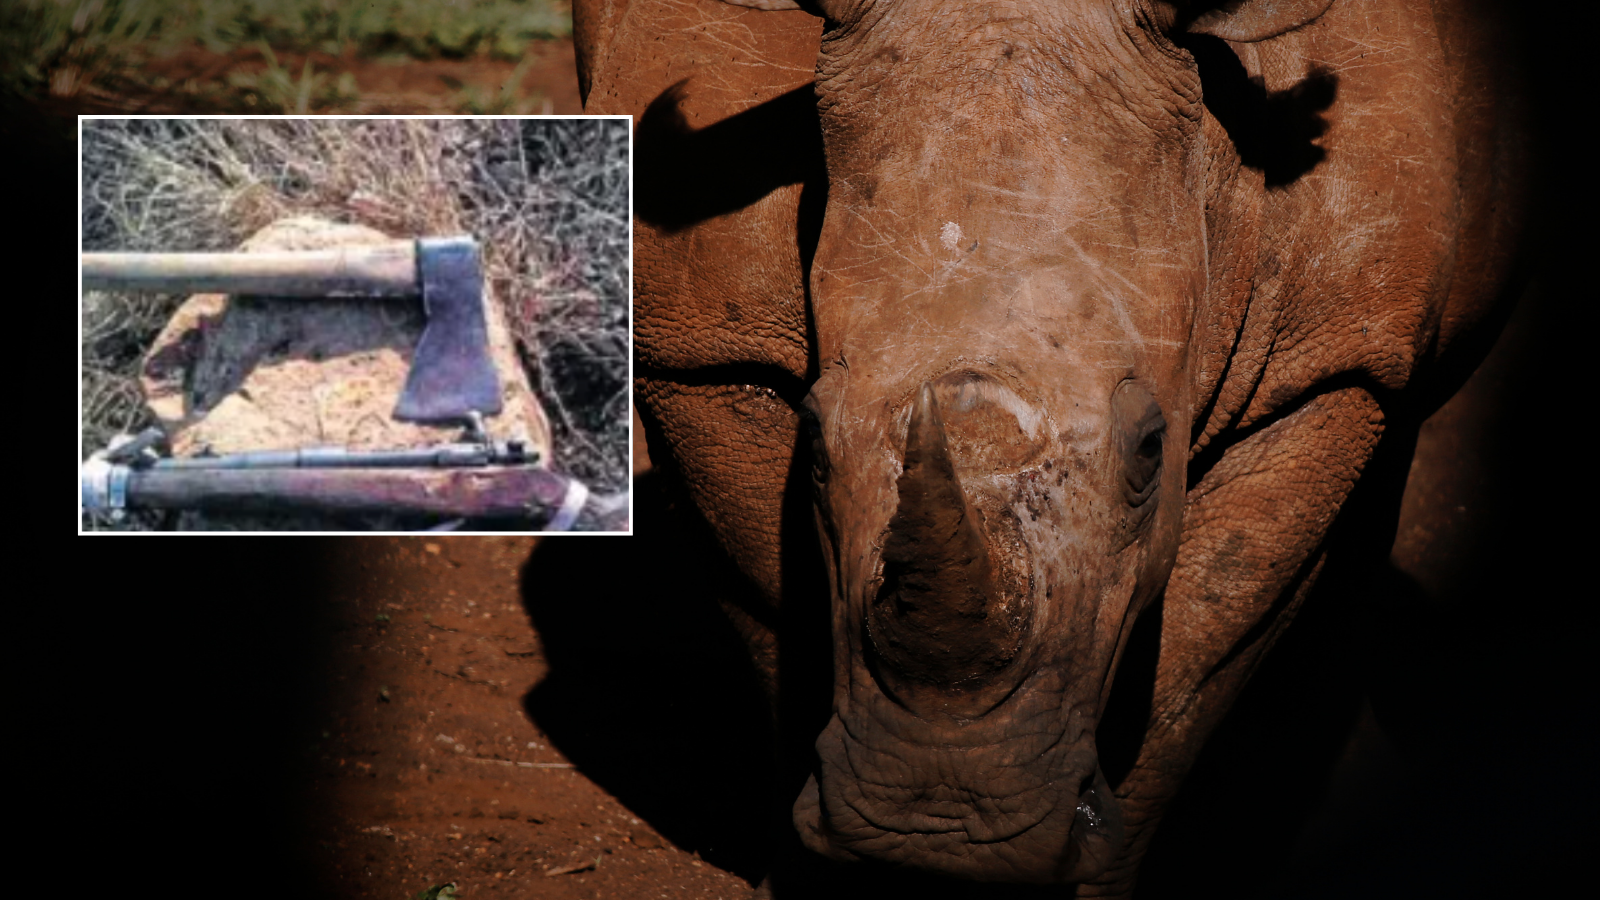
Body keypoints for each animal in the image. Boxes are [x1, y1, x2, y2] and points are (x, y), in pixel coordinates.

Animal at [582, 0, 1529, 893]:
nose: (941, 830)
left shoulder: (1334, 365)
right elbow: (774, 609)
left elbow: (1192, 658)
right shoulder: (695, 342)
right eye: (811, 440)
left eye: (1151, 449)